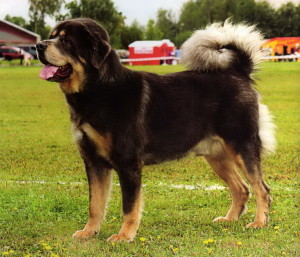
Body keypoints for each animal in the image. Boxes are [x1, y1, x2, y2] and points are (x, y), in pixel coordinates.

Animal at [36, 18, 276, 242]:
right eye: (52, 36)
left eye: (67, 41)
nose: (39, 45)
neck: (100, 89)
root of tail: (239, 73)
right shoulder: (94, 162)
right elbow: (95, 204)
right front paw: (89, 232)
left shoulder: (128, 163)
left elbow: (129, 206)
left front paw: (124, 236)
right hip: (217, 156)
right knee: (242, 189)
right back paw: (229, 219)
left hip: (242, 146)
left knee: (261, 188)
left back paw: (259, 222)